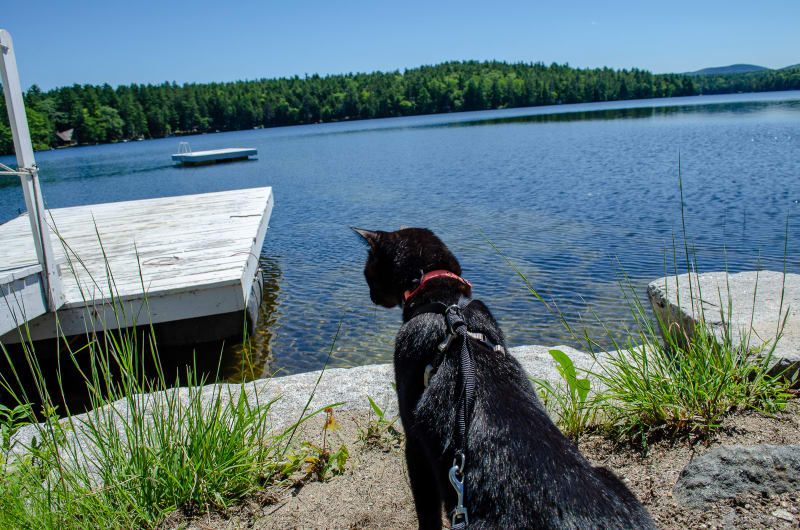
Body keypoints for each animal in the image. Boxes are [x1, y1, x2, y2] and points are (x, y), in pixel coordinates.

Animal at [354, 227, 652, 528]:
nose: (370, 296)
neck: (444, 300)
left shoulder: (415, 445)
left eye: (368, 272)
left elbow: (427, 514)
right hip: (610, 476)